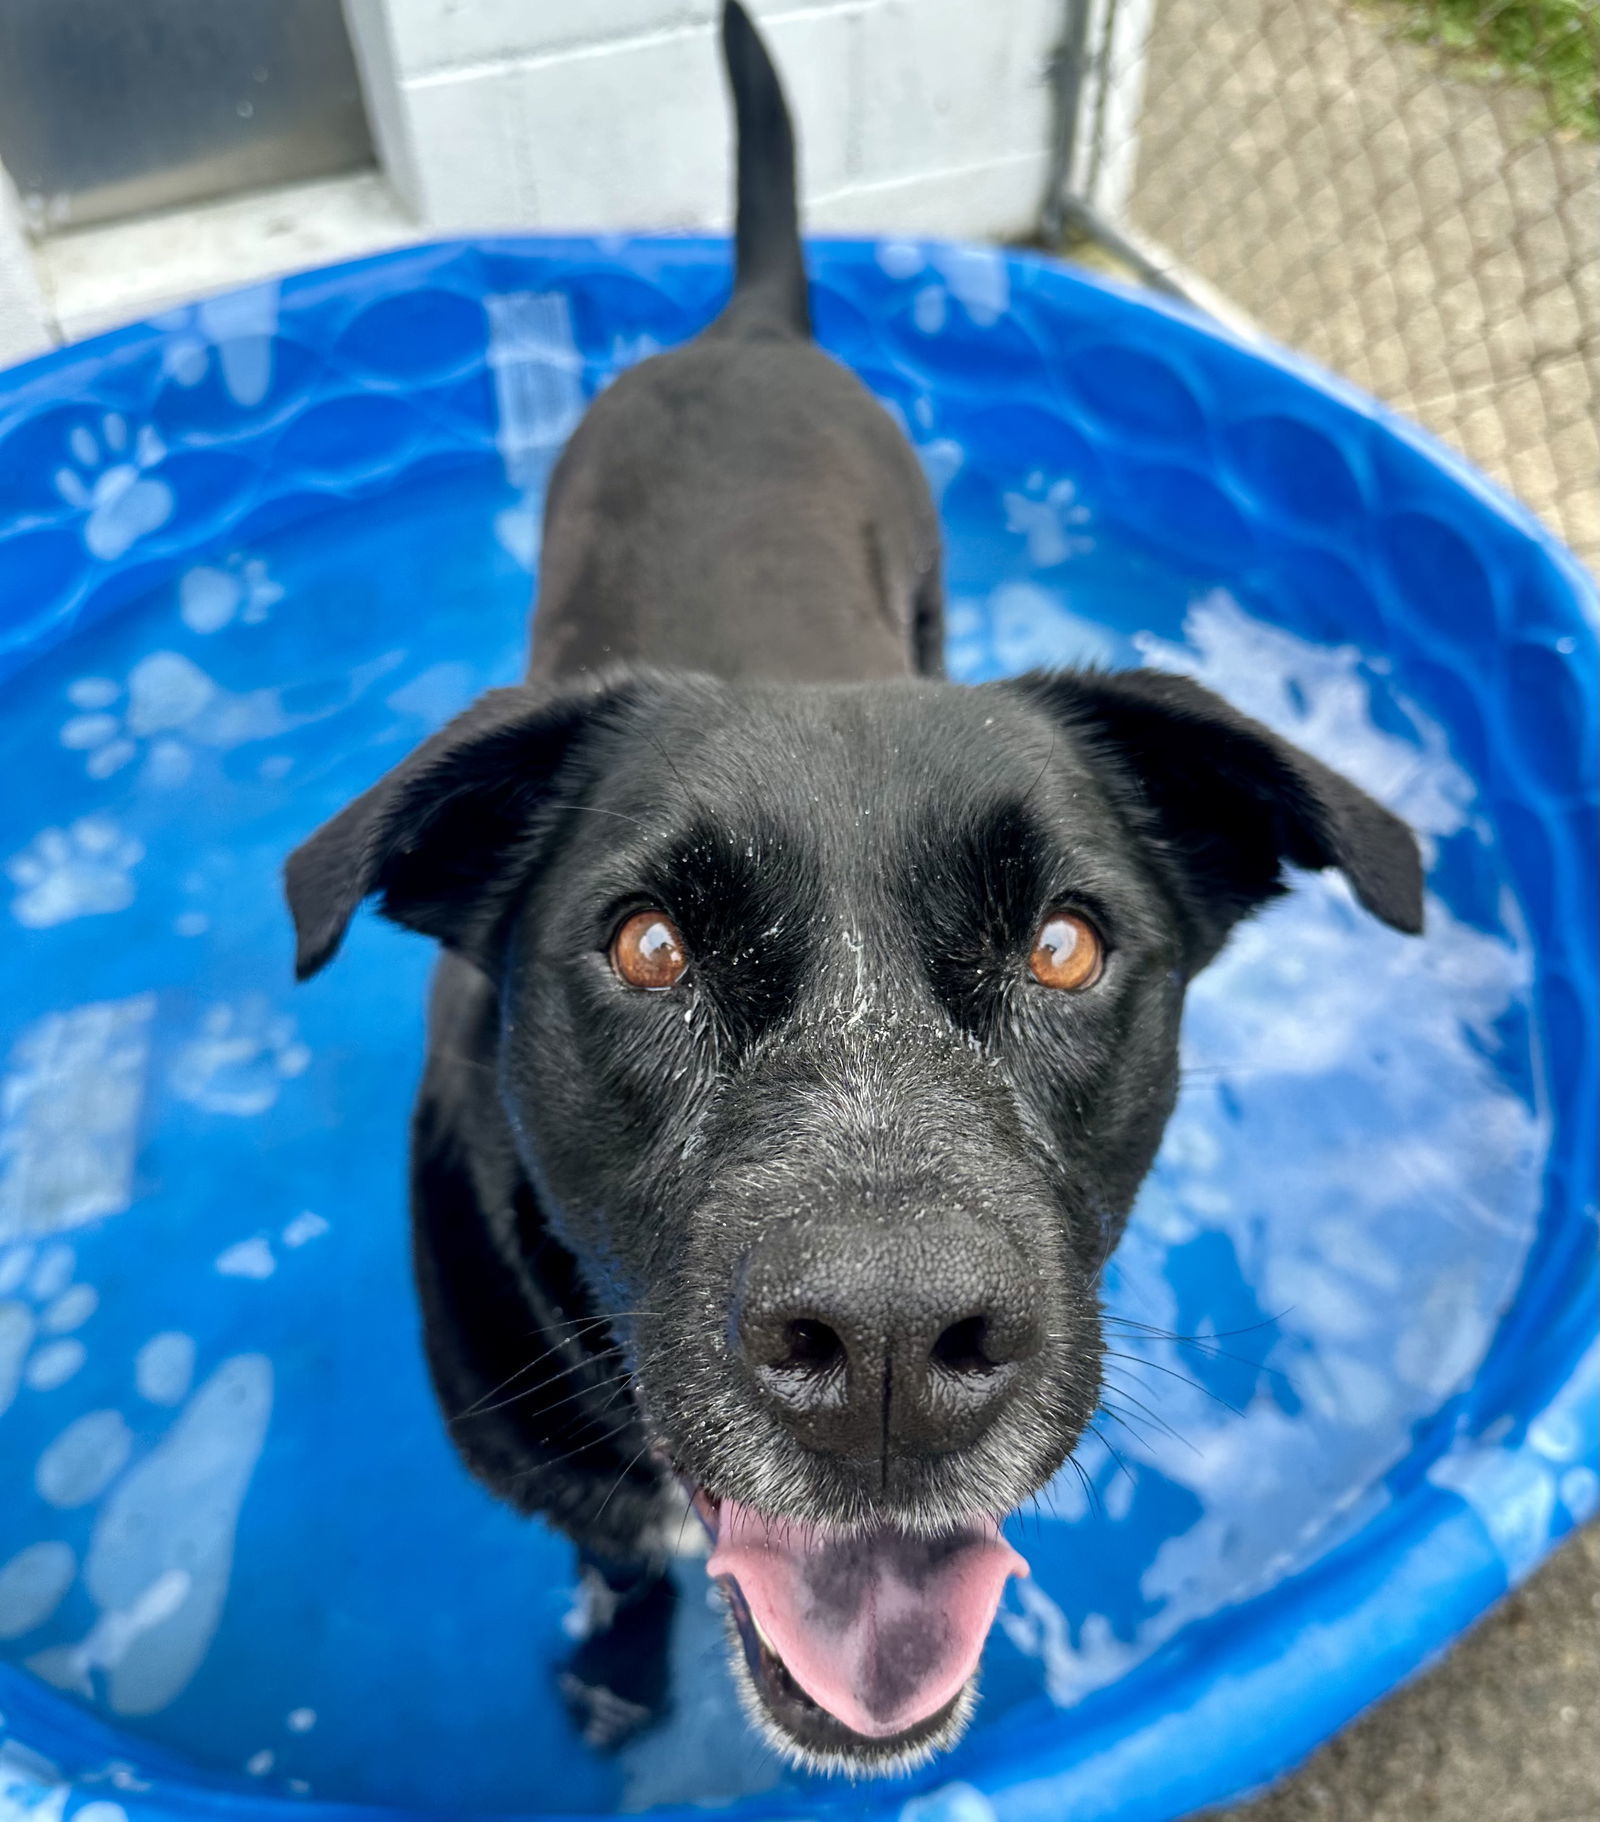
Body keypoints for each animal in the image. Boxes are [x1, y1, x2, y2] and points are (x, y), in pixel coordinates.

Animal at [282, 3, 1421, 1778]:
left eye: (1066, 944)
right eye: (649, 945)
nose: (891, 1348)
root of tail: (750, 325)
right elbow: (620, 1569)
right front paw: (622, 1671)